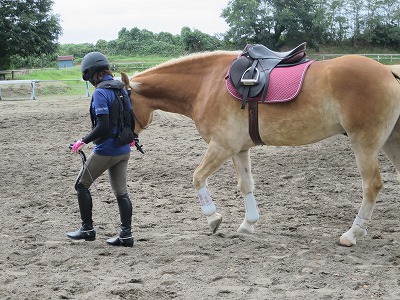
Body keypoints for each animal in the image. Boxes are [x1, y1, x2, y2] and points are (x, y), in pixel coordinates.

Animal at [120, 50, 400, 247]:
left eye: (119, 103)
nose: (123, 140)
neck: (206, 85)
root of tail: (388, 71)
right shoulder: (239, 150)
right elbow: (246, 185)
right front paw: (248, 224)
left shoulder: (221, 147)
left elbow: (197, 178)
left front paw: (213, 218)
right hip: (389, 142)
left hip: (364, 142)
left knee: (372, 185)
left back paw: (352, 233)